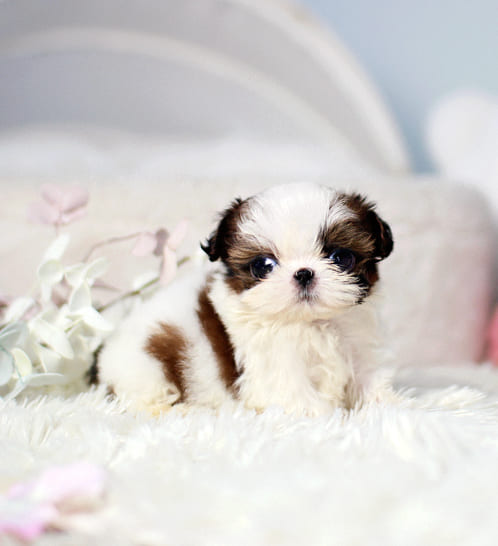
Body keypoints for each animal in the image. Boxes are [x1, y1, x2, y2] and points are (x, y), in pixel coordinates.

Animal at [96, 182, 394, 416]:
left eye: (341, 258)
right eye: (263, 266)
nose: (303, 273)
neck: (313, 323)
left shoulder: (359, 343)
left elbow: (368, 378)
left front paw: (387, 408)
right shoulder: (275, 365)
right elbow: (296, 396)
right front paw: (328, 418)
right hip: (145, 367)